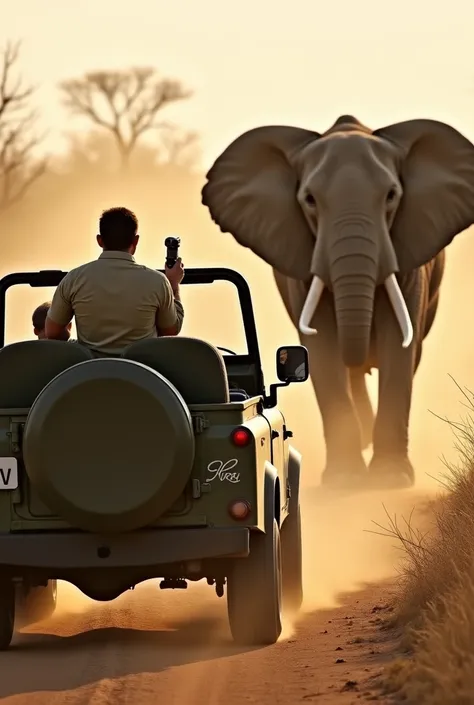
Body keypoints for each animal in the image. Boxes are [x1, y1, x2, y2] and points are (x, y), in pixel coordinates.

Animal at [201, 115, 474, 490]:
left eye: (392, 196)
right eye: (310, 200)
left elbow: (398, 345)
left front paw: (390, 479)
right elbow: (323, 348)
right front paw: (345, 480)